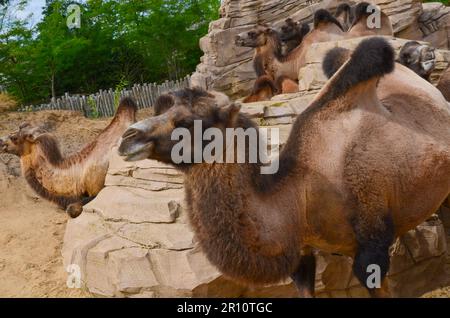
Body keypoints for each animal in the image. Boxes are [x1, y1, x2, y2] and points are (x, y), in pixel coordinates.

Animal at [118, 38, 450, 298]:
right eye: (159, 110)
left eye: (187, 122)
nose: (127, 137)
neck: (301, 195)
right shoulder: (302, 255)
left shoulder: (372, 242)